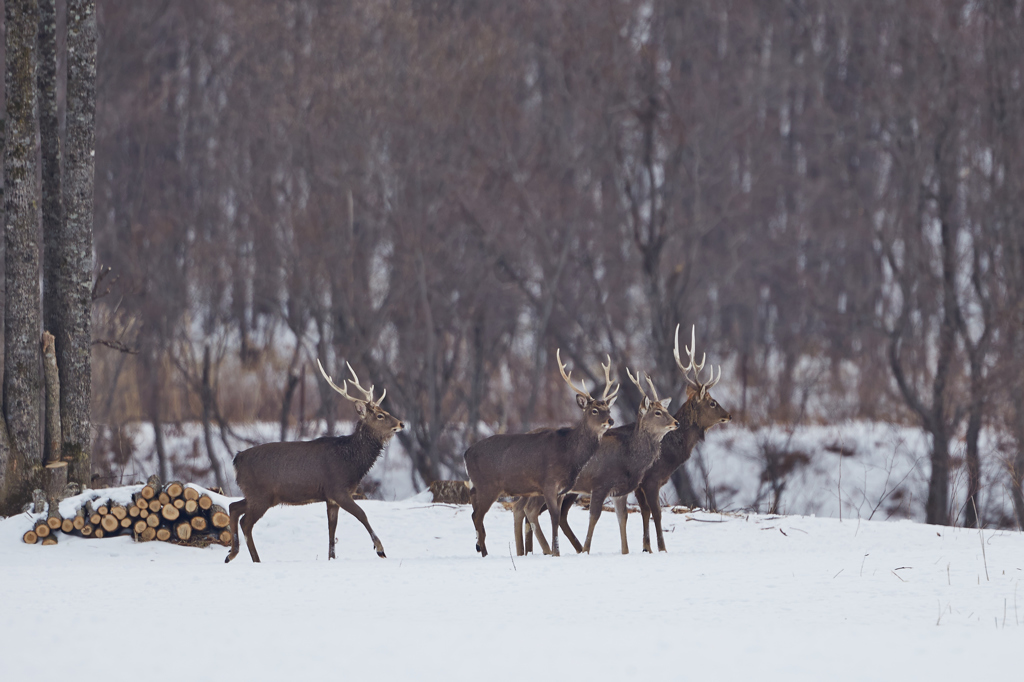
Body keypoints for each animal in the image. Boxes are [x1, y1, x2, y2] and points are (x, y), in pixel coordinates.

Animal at [224, 358, 403, 561]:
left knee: (233, 507)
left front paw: (331, 558)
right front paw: (380, 549)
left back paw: (232, 554)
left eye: (385, 411)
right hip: (260, 495)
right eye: (380, 415)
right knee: (245, 522)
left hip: (257, 495)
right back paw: (253, 559)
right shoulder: (338, 490)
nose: (401, 423)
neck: (351, 462)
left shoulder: (331, 499)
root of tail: (237, 459)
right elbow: (362, 514)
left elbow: (332, 531)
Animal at [464, 350, 614, 557]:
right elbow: (554, 517)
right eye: (594, 410)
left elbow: (556, 517)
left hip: (480, 486)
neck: (570, 454)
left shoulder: (561, 490)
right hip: (487, 485)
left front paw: (554, 551)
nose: (611, 421)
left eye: (609, 408)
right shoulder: (549, 483)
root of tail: (466, 453)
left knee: (475, 513)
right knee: (477, 515)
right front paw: (555, 552)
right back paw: (485, 554)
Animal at [512, 366, 679, 552]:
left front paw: (625, 551)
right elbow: (594, 517)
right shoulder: (600, 483)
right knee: (530, 509)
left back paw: (523, 551)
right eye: (657, 412)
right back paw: (547, 550)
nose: (676, 422)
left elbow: (623, 518)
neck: (628, 458)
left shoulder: (620, 491)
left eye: (666, 410)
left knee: (518, 507)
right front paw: (585, 550)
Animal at [634, 323, 733, 552]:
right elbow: (656, 514)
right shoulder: (650, 480)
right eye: (713, 402)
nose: (729, 415)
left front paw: (646, 548)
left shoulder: (640, 486)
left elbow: (644, 513)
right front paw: (662, 548)